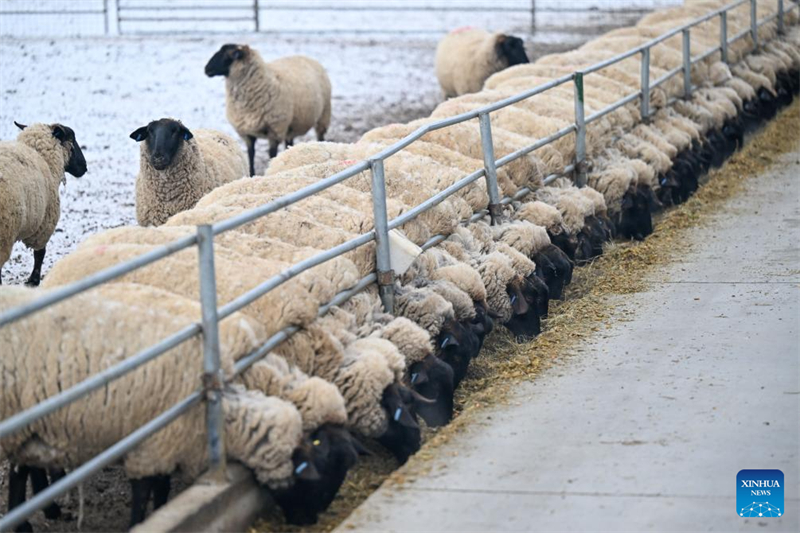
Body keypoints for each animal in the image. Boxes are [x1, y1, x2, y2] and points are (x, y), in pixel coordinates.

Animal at [205, 44, 332, 176]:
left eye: (230, 54)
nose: (206, 69)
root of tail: (307, 57)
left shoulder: (274, 131)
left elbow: (271, 154)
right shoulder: (247, 133)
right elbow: (251, 154)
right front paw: (252, 173)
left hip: (324, 114)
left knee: (320, 135)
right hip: (291, 125)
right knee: (289, 142)